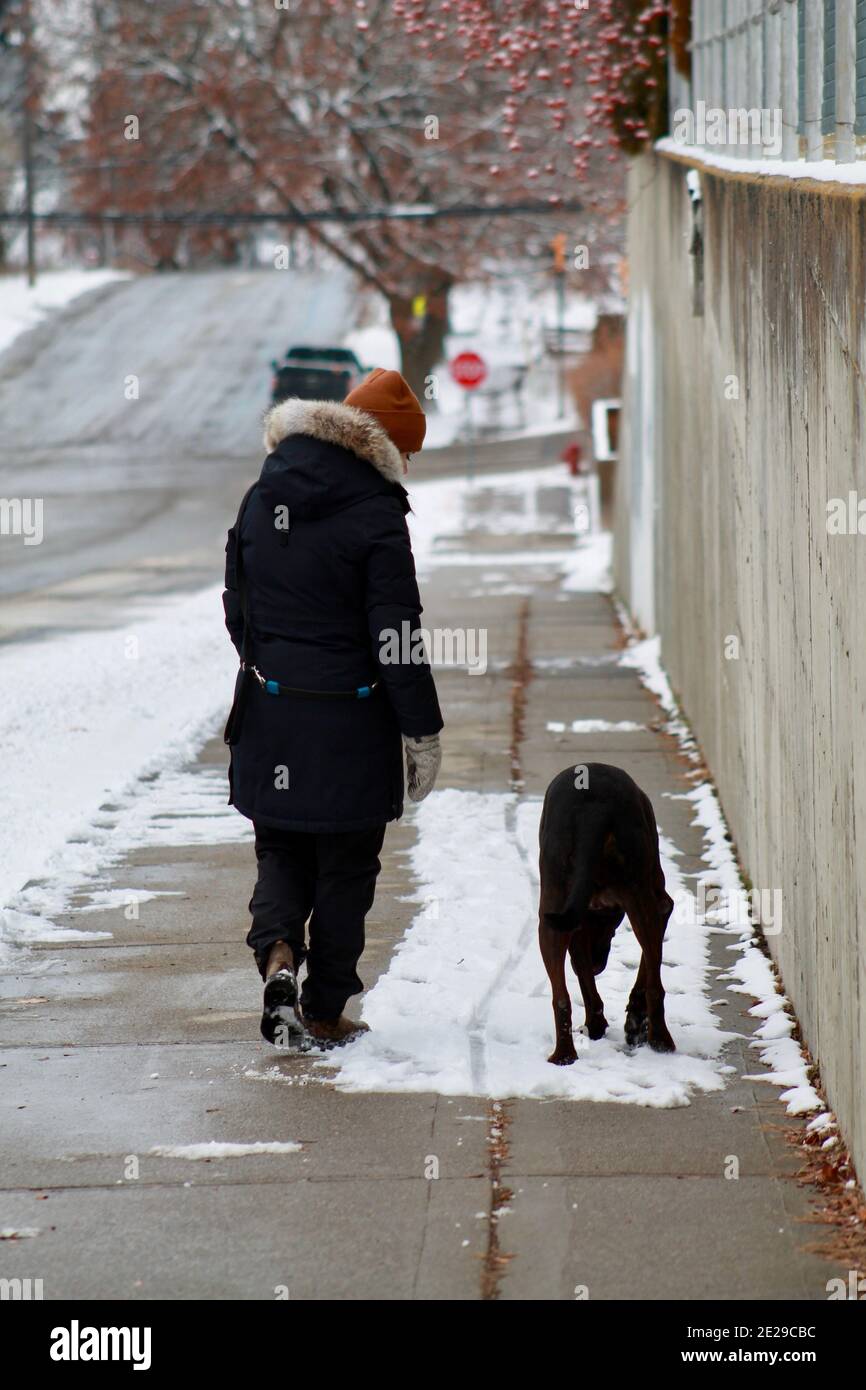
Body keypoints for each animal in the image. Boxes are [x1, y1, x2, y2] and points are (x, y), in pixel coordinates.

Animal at [539, 767, 675, 1056]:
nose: (597, 964)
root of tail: (593, 810)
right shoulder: (659, 904)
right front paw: (634, 1017)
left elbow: (584, 976)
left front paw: (600, 1023)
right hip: (637, 892)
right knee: (655, 986)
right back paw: (658, 1037)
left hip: (552, 911)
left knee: (561, 996)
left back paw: (564, 1054)